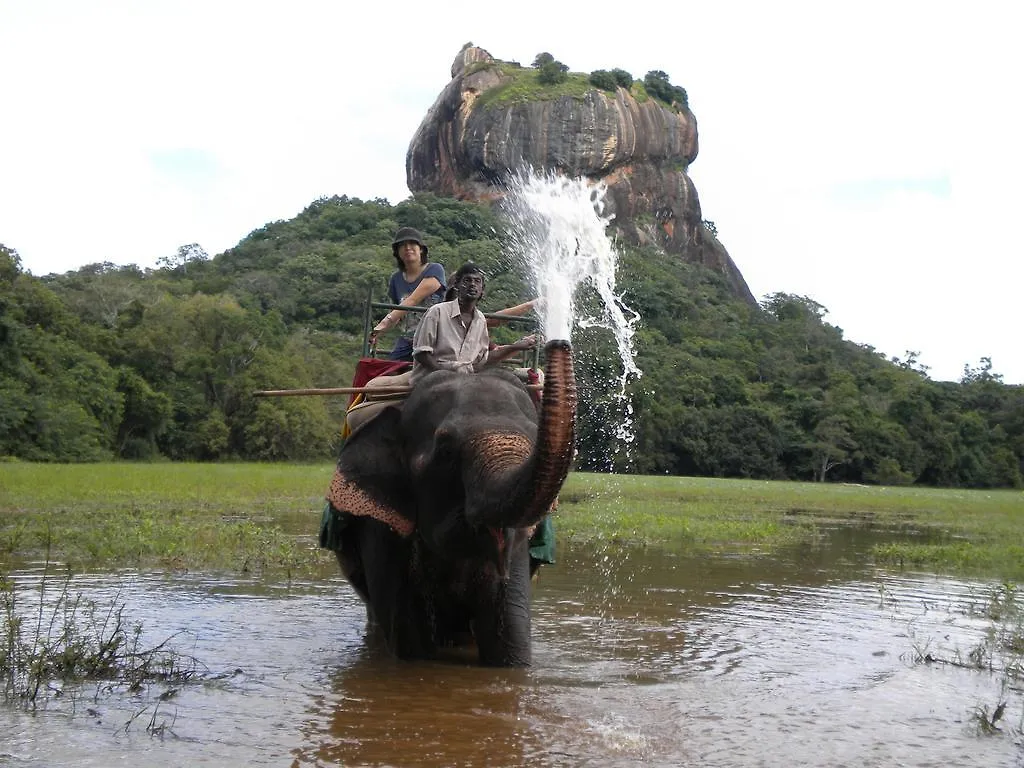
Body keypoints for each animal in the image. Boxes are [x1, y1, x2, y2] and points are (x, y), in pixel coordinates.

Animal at [319, 342, 577, 667]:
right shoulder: (380, 525)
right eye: (445, 451)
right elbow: (410, 641)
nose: (559, 342)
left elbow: (510, 636)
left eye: (534, 438)